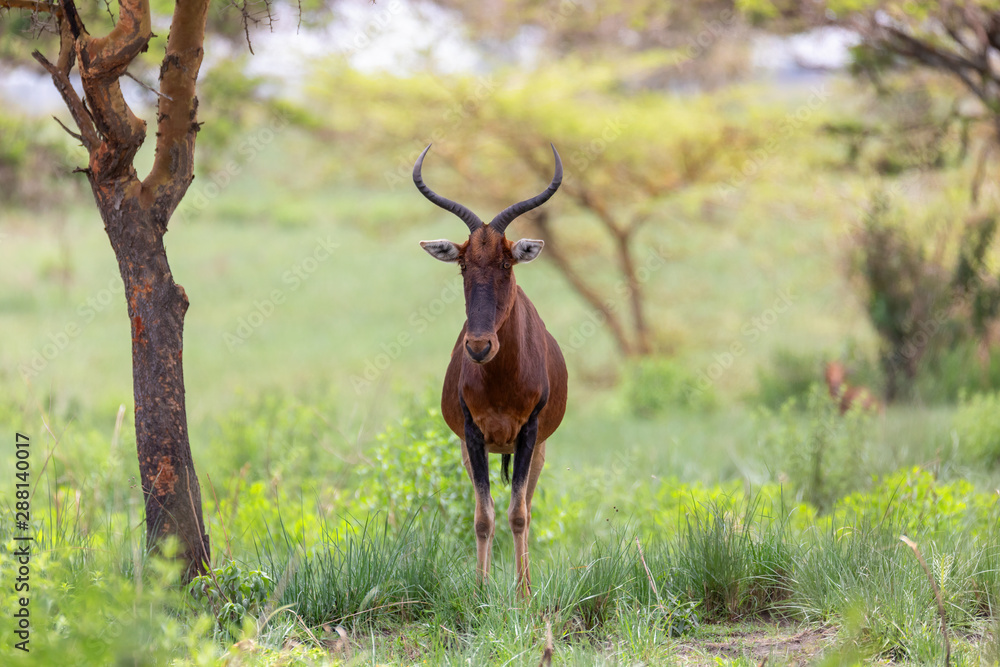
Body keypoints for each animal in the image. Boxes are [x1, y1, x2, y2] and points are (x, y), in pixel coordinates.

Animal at [414, 144, 568, 596]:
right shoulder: (472, 434)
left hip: (538, 450)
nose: (480, 345)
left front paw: (523, 595)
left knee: (527, 507)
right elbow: (483, 515)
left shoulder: (530, 433)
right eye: (464, 264)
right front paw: (481, 593)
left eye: (506, 263)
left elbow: (519, 513)